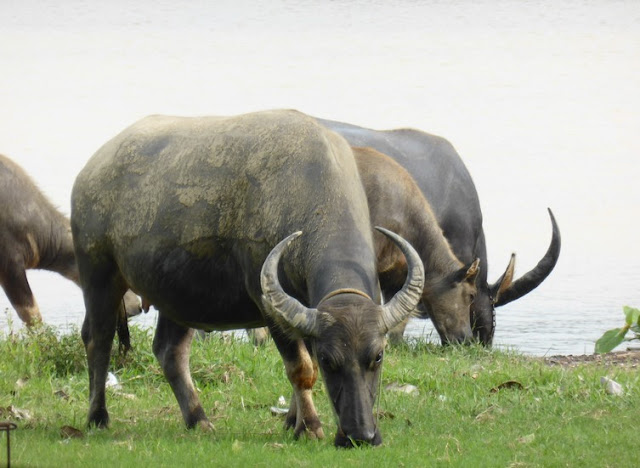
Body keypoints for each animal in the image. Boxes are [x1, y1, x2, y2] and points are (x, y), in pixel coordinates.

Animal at [71, 109, 424, 446]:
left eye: (377, 356)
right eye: (329, 360)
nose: (360, 435)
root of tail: (89, 172)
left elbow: (303, 363)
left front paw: (292, 422)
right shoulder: (269, 305)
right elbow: (301, 368)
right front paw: (310, 427)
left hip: (178, 296)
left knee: (169, 351)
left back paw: (198, 419)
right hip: (99, 274)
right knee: (98, 339)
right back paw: (97, 417)